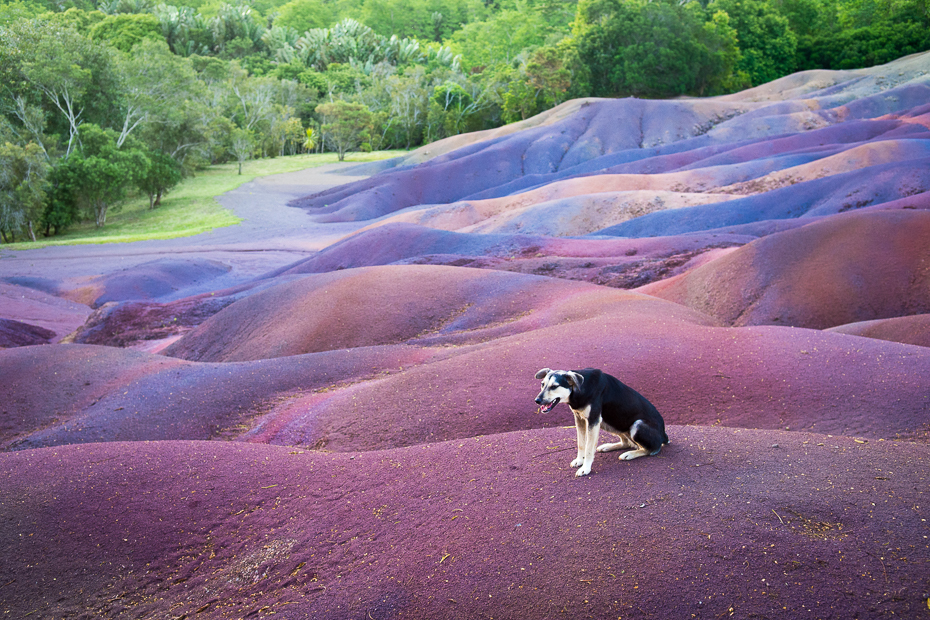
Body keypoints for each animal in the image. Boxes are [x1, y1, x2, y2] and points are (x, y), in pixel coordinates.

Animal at [536, 370, 668, 478]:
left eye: (554, 386)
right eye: (542, 384)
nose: (537, 400)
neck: (580, 389)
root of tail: (664, 435)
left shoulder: (593, 420)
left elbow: (589, 448)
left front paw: (585, 468)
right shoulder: (579, 419)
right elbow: (581, 444)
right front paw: (579, 460)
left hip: (637, 425)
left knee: (652, 449)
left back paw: (629, 454)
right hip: (610, 421)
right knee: (627, 442)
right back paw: (609, 447)